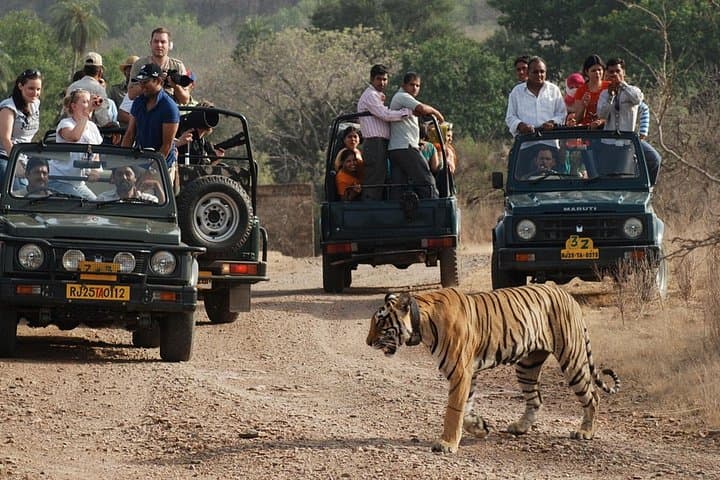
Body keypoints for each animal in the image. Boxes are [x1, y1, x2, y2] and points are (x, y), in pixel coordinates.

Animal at [366, 284, 620, 454]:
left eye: (380, 322)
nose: (368, 342)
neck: (422, 323)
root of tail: (568, 295)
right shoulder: (468, 373)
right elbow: (466, 408)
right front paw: (480, 428)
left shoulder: (460, 371)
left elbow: (453, 410)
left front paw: (447, 443)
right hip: (527, 365)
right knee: (535, 399)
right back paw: (520, 427)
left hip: (572, 358)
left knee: (592, 396)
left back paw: (585, 432)